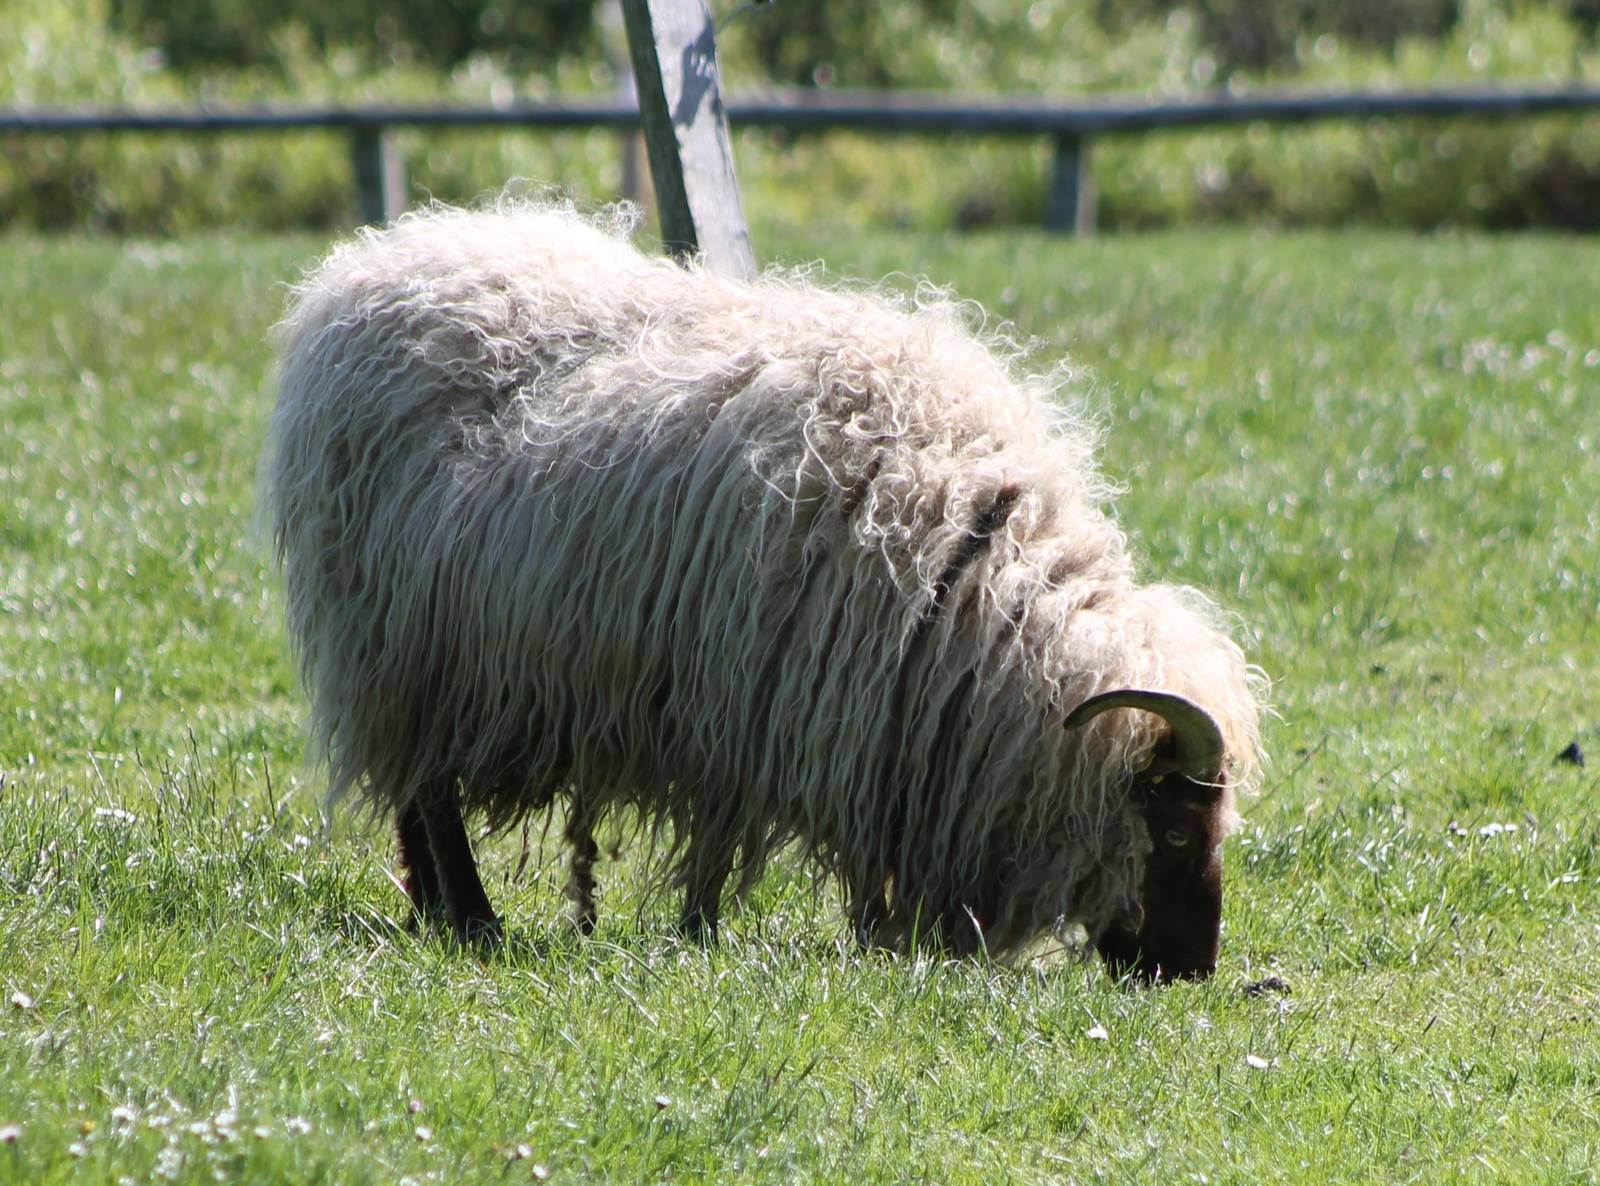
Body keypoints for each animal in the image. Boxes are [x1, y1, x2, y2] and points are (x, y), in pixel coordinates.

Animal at [265, 201, 1263, 981]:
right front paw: (708, 932)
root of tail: (365, 267)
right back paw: (474, 920)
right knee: (429, 795)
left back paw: (430, 909)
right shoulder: (745, 703)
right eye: (1177, 833)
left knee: (414, 796)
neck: (970, 571)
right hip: (399, 645)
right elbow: (722, 839)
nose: (1191, 973)